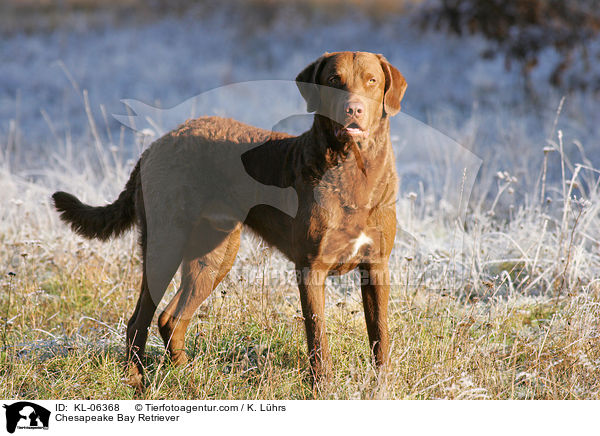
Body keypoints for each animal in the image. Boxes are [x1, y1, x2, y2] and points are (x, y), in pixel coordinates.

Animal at [52, 51, 408, 388]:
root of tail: (156, 144)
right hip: (165, 245)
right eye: (334, 80)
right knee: (139, 320)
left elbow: (380, 333)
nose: (353, 110)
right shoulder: (311, 268)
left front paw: (383, 385)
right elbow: (318, 337)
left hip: (214, 255)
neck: (352, 170)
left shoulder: (377, 265)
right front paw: (323, 388)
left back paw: (187, 374)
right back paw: (136, 381)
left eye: (372, 80)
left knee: (170, 317)